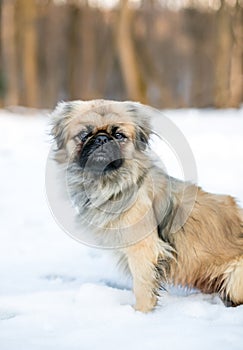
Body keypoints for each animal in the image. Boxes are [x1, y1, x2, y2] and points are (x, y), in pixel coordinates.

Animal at [50, 98, 243, 312]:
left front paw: (140, 313)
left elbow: (142, 285)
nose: (101, 139)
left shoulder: (142, 250)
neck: (110, 184)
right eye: (84, 135)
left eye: (119, 135)